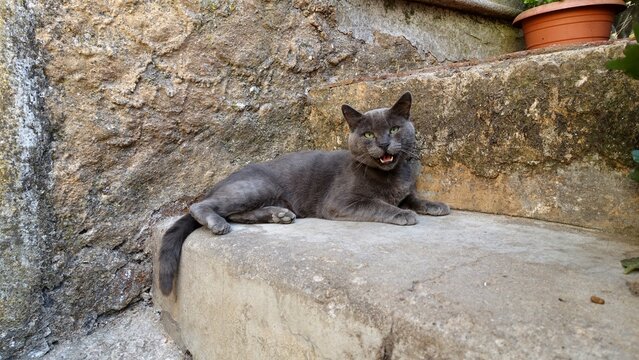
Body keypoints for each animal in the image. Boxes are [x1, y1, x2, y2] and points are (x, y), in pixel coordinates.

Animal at [160, 92, 450, 296]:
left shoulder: (405, 190)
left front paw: (436, 205)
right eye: (368, 134)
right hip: (257, 187)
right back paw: (218, 223)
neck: (390, 174)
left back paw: (278, 215)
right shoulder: (340, 203)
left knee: (237, 213)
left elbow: (413, 197)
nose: (384, 143)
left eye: (394, 129)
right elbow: (380, 205)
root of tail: (224, 180)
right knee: (204, 206)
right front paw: (403, 214)